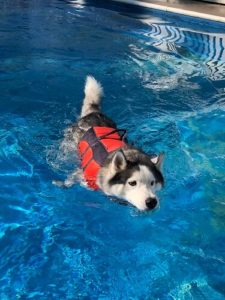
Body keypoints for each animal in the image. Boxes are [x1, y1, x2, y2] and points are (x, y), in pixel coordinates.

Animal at [53, 75, 164, 211]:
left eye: (152, 183)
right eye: (132, 183)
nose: (152, 202)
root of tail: (94, 113)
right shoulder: (83, 177)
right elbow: (71, 179)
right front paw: (63, 184)